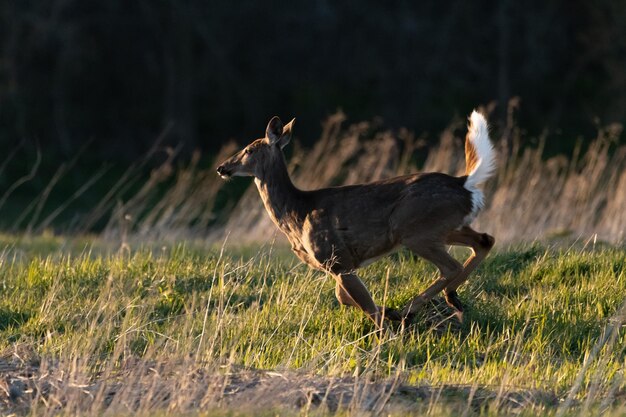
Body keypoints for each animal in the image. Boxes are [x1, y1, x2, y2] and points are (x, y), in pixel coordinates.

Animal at [217, 110, 494, 328]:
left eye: (249, 149)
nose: (222, 167)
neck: (296, 213)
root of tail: (464, 184)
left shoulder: (337, 258)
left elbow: (361, 303)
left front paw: (386, 326)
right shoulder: (341, 265)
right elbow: (345, 298)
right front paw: (387, 311)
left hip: (416, 229)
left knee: (451, 265)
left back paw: (409, 310)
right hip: (445, 226)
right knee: (485, 240)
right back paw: (448, 298)